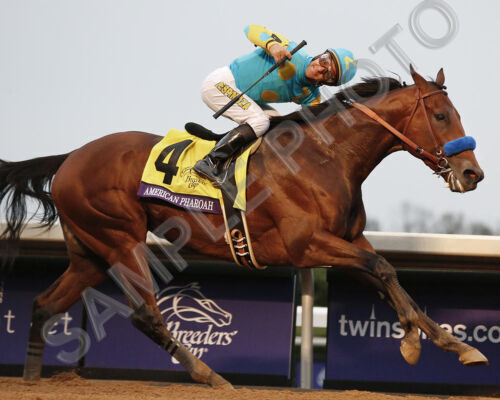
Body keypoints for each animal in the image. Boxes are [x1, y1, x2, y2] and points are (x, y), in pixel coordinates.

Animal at [0, 68, 486, 388]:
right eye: (441, 116)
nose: (472, 174)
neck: (325, 158)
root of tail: (69, 158)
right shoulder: (306, 246)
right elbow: (383, 268)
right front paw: (415, 344)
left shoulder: (347, 240)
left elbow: (391, 281)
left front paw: (453, 345)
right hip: (122, 240)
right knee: (144, 314)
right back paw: (211, 376)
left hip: (90, 252)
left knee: (44, 304)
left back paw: (31, 380)